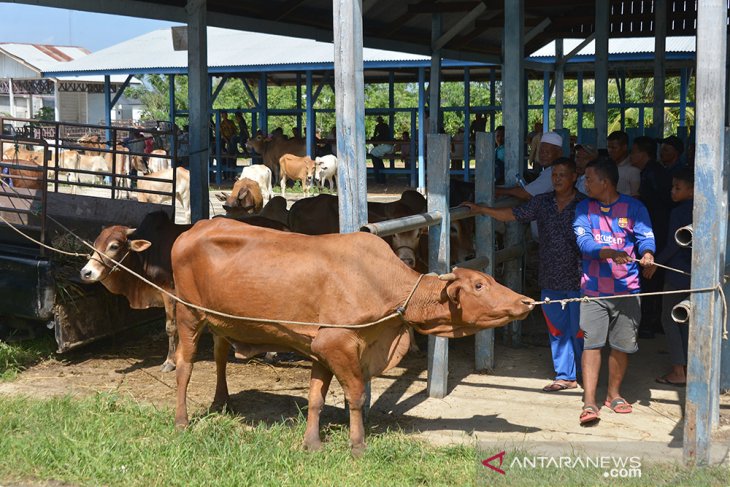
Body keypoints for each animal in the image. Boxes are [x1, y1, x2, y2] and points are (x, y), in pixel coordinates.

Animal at [171, 221, 536, 458]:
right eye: (478, 285)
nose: (526, 301)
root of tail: (193, 228)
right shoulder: (338, 344)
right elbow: (357, 397)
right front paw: (358, 445)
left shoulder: (319, 347)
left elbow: (315, 398)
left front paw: (312, 444)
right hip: (188, 315)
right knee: (184, 367)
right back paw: (182, 421)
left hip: (218, 321)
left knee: (220, 355)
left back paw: (221, 402)